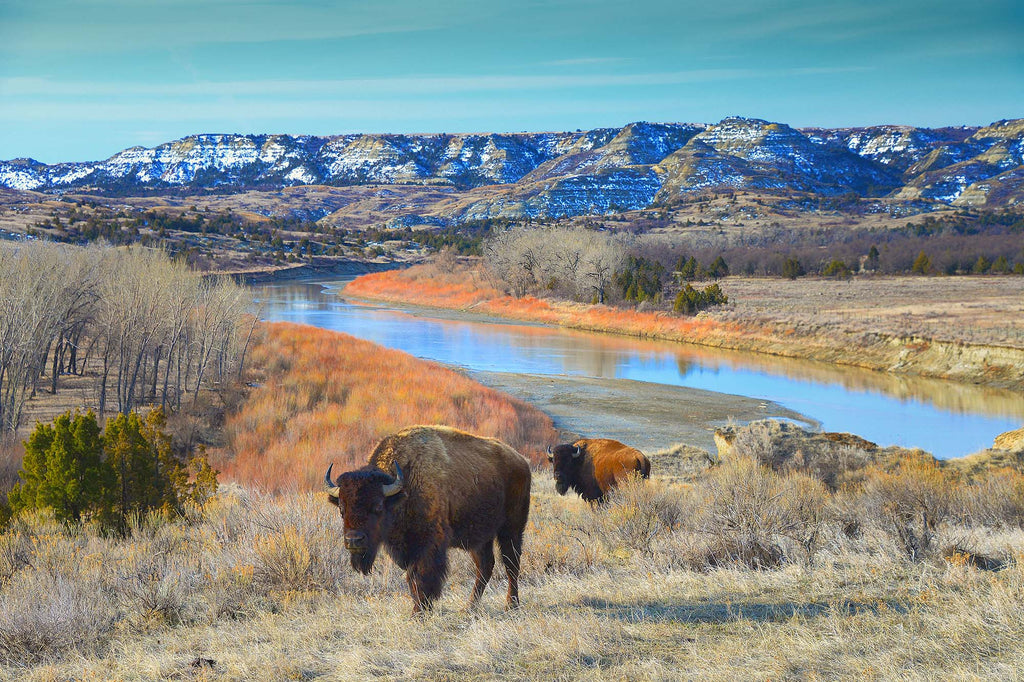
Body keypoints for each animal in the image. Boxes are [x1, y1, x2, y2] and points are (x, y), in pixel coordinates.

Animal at [324, 425, 531, 612]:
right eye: (342, 509)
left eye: (377, 506)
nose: (353, 540)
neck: (404, 487)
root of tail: (521, 461)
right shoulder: (408, 548)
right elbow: (412, 579)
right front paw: (419, 609)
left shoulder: (429, 543)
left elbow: (422, 576)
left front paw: (420, 611)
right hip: (480, 537)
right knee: (486, 566)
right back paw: (470, 607)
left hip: (511, 529)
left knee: (511, 564)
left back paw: (511, 605)